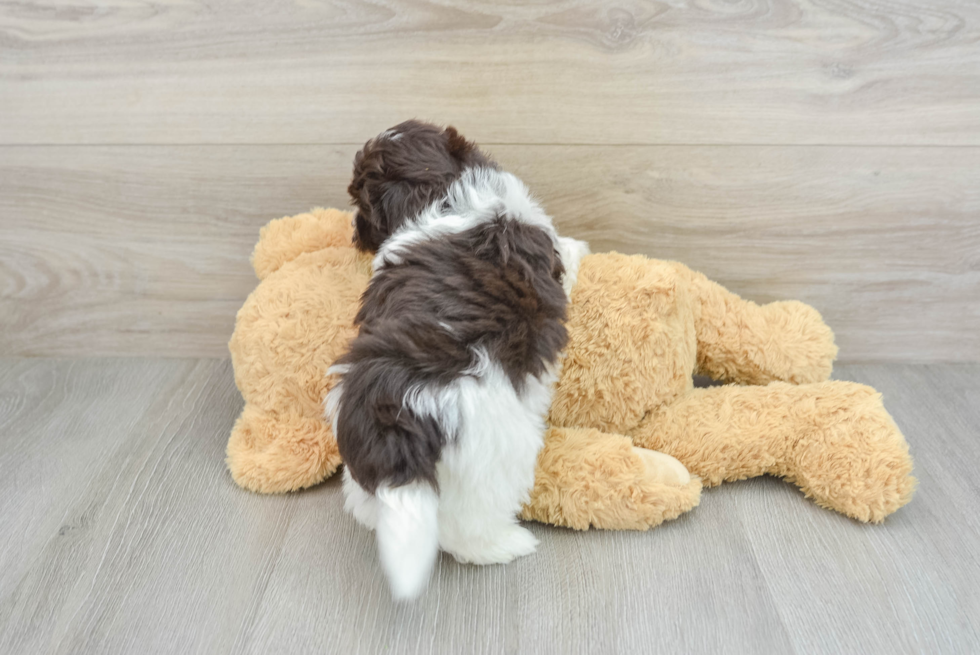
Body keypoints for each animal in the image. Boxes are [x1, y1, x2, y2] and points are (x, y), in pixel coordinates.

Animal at [330, 120, 588, 604]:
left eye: (361, 202)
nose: (353, 232)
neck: (444, 192)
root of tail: (400, 417)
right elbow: (565, 250)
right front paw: (581, 245)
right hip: (496, 450)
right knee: (471, 527)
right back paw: (507, 545)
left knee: (371, 504)